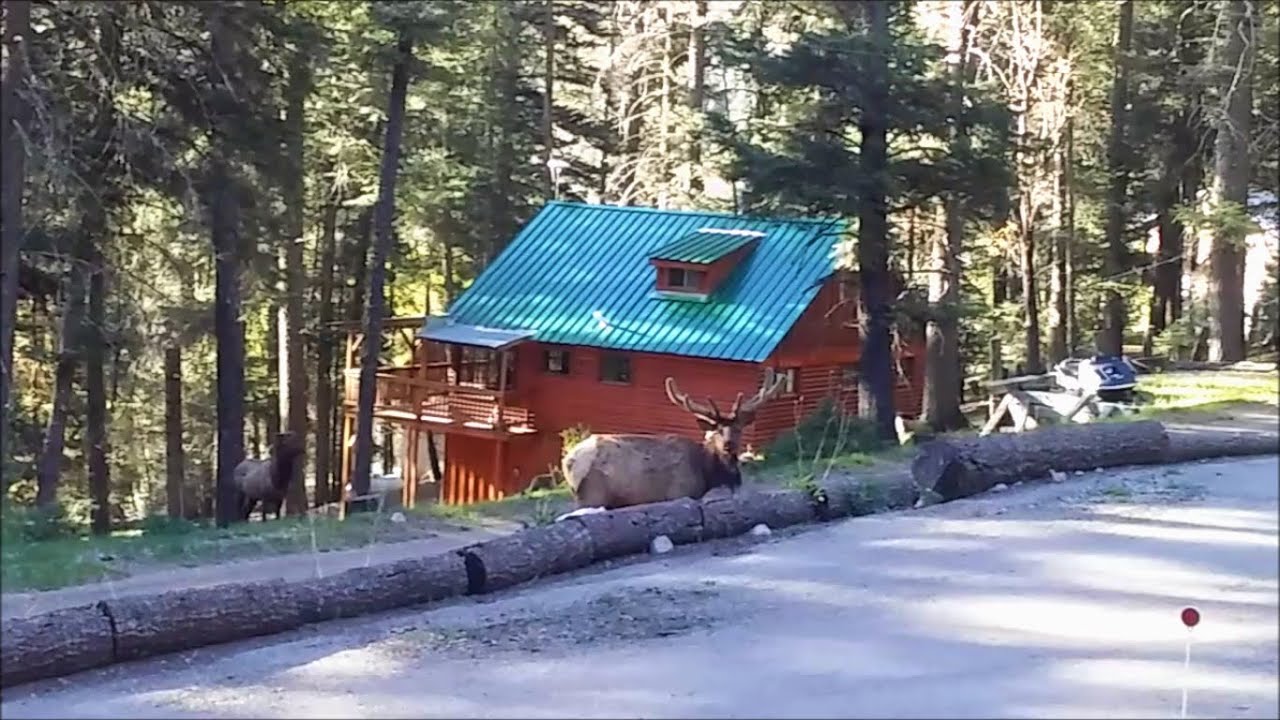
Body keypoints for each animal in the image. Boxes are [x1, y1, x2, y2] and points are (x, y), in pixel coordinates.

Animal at [560, 368, 788, 511]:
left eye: (738, 429)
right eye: (716, 431)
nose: (728, 445)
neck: (706, 473)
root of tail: (568, 461)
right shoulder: (679, 493)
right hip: (592, 495)